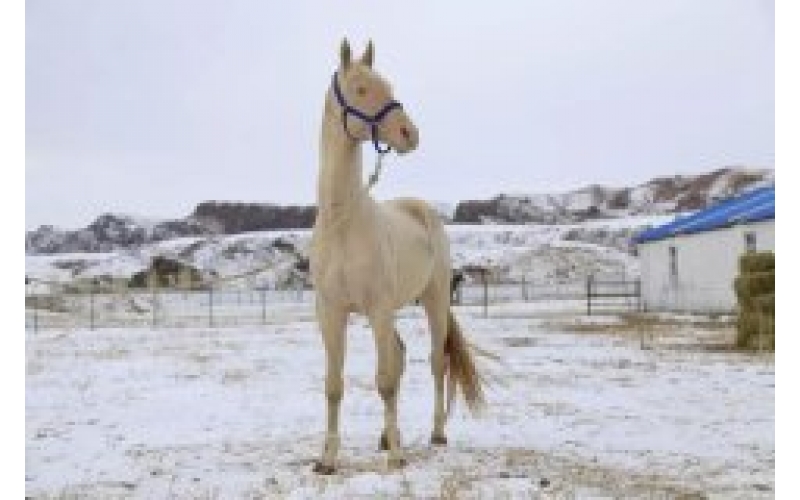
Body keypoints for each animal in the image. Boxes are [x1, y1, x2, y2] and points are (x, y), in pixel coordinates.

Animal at [308, 39, 485, 474]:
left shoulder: (377, 308)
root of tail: (422, 210)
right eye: (360, 89)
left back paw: (434, 434)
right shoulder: (330, 312)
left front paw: (398, 460)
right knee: (402, 356)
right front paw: (327, 459)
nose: (410, 133)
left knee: (435, 361)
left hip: (432, 302)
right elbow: (334, 386)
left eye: (388, 84)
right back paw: (388, 436)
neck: (343, 222)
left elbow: (384, 381)